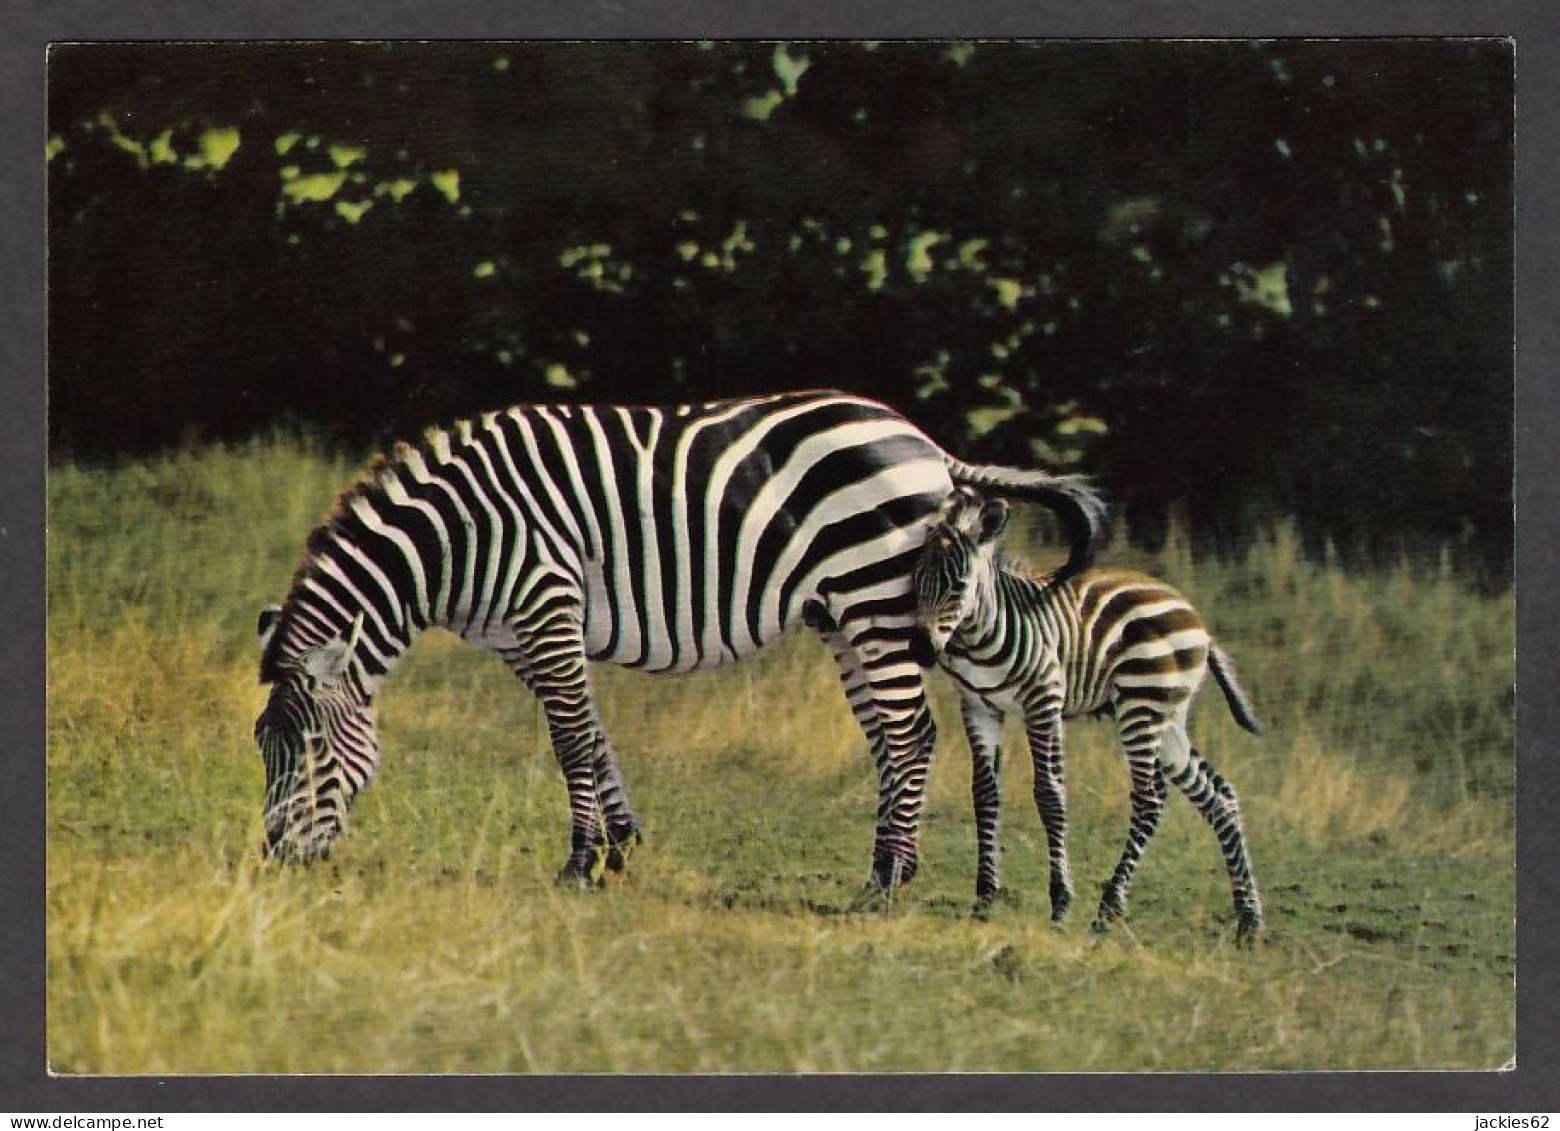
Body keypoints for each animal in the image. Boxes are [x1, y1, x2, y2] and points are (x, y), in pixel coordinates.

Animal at [252, 388, 1110, 898]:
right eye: (265, 748)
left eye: (314, 750)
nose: (275, 860)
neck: (455, 536)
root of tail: (927, 445)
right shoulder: (522, 636)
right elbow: (594, 735)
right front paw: (622, 847)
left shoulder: (547, 604)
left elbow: (570, 739)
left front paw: (578, 863)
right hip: (848, 610)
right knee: (890, 736)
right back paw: (884, 867)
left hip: (874, 594)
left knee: (910, 732)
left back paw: (886, 884)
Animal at [898, 489, 1260, 942]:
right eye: (915, 580)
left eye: (958, 585)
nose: (921, 650)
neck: (980, 634)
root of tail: (1196, 619)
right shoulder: (980, 706)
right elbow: (985, 795)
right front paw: (984, 899)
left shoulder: (1043, 702)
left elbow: (1050, 794)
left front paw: (1060, 903)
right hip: (1168, 718)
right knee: (1219, 796)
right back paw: (1248, 920)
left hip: (1141, 704)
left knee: (1150, 798)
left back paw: (1107, 911)